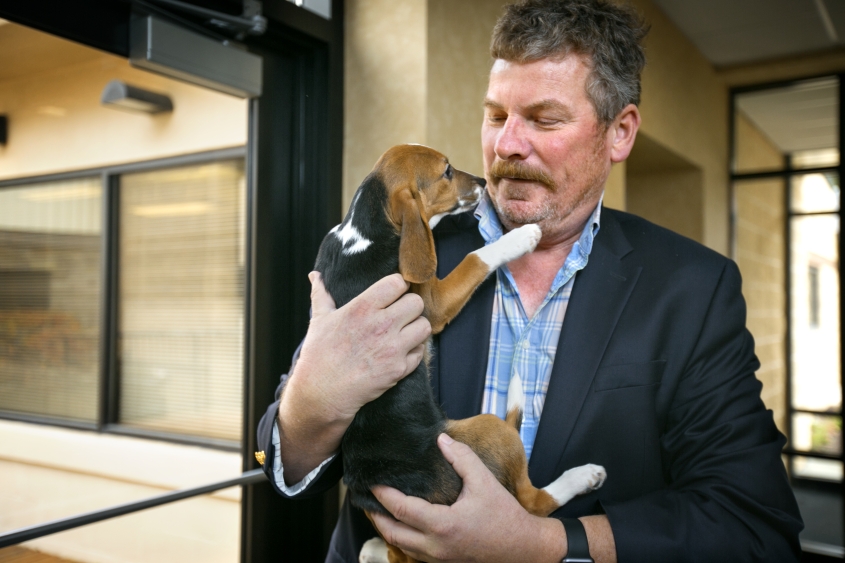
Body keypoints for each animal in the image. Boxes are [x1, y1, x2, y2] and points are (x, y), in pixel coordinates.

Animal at [314, 145, 604, 563]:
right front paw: (519, 237)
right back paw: (582, 472)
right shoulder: (433, 303)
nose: (483, 182)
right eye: (447, 172)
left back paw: (373, 548)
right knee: (533, 502)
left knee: (395, 552)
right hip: (486, 432)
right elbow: (475, 257)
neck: (365, 229)